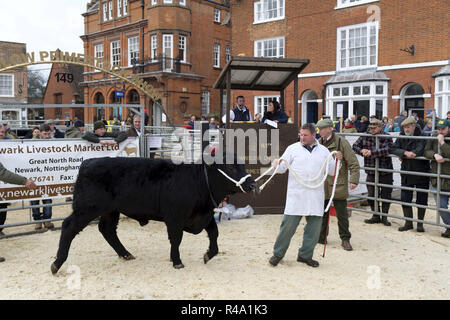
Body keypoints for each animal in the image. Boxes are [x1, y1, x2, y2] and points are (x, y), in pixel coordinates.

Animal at [50, 156, 256, 274]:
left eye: (242, 166)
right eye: (231, 167)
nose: (252, 184)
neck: (198, 181)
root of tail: (87, 162)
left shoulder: (204, 215)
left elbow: (214, 235)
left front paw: (208, 255)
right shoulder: (175, 217)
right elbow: (176, 239)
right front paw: (177, 261)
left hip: (110, 210)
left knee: (107, 230)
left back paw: (125, 254)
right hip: (87, 208)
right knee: (68, 227)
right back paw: (57, 264)